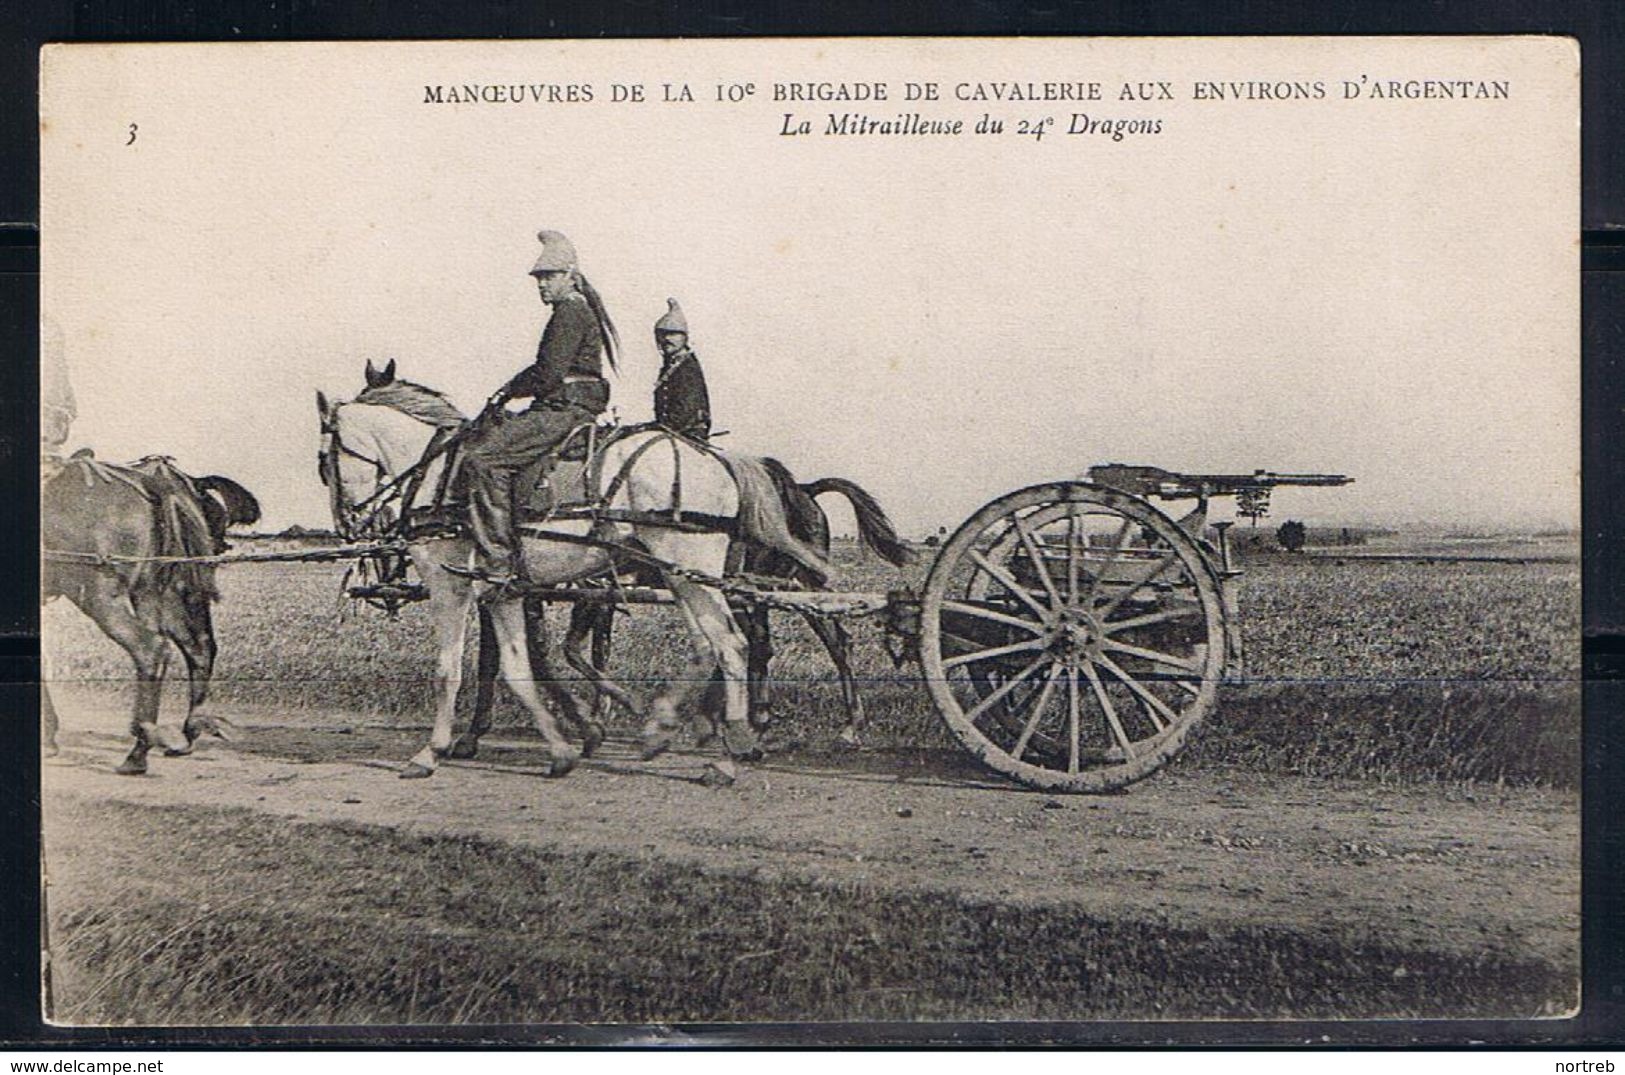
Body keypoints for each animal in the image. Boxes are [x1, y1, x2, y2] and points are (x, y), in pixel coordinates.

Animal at [42, 454, 260, 776]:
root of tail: (157, 480)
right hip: (165, 591)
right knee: (200, 647)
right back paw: (190, 731)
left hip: (96, 593)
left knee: (151, 649)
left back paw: (140, 748)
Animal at [316, 368, 806, 782]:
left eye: (324, 462)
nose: (348, 524)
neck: (439, 472)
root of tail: (718, 460)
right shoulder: (504, 593)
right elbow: (518, 670)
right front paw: (562, 749)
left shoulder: (449, 585)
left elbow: (449, 669)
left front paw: (430, 752)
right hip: (681, 576)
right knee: (710, 646)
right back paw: (665, 728)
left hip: (692, 570)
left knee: (731, 645)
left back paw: (728, 754)